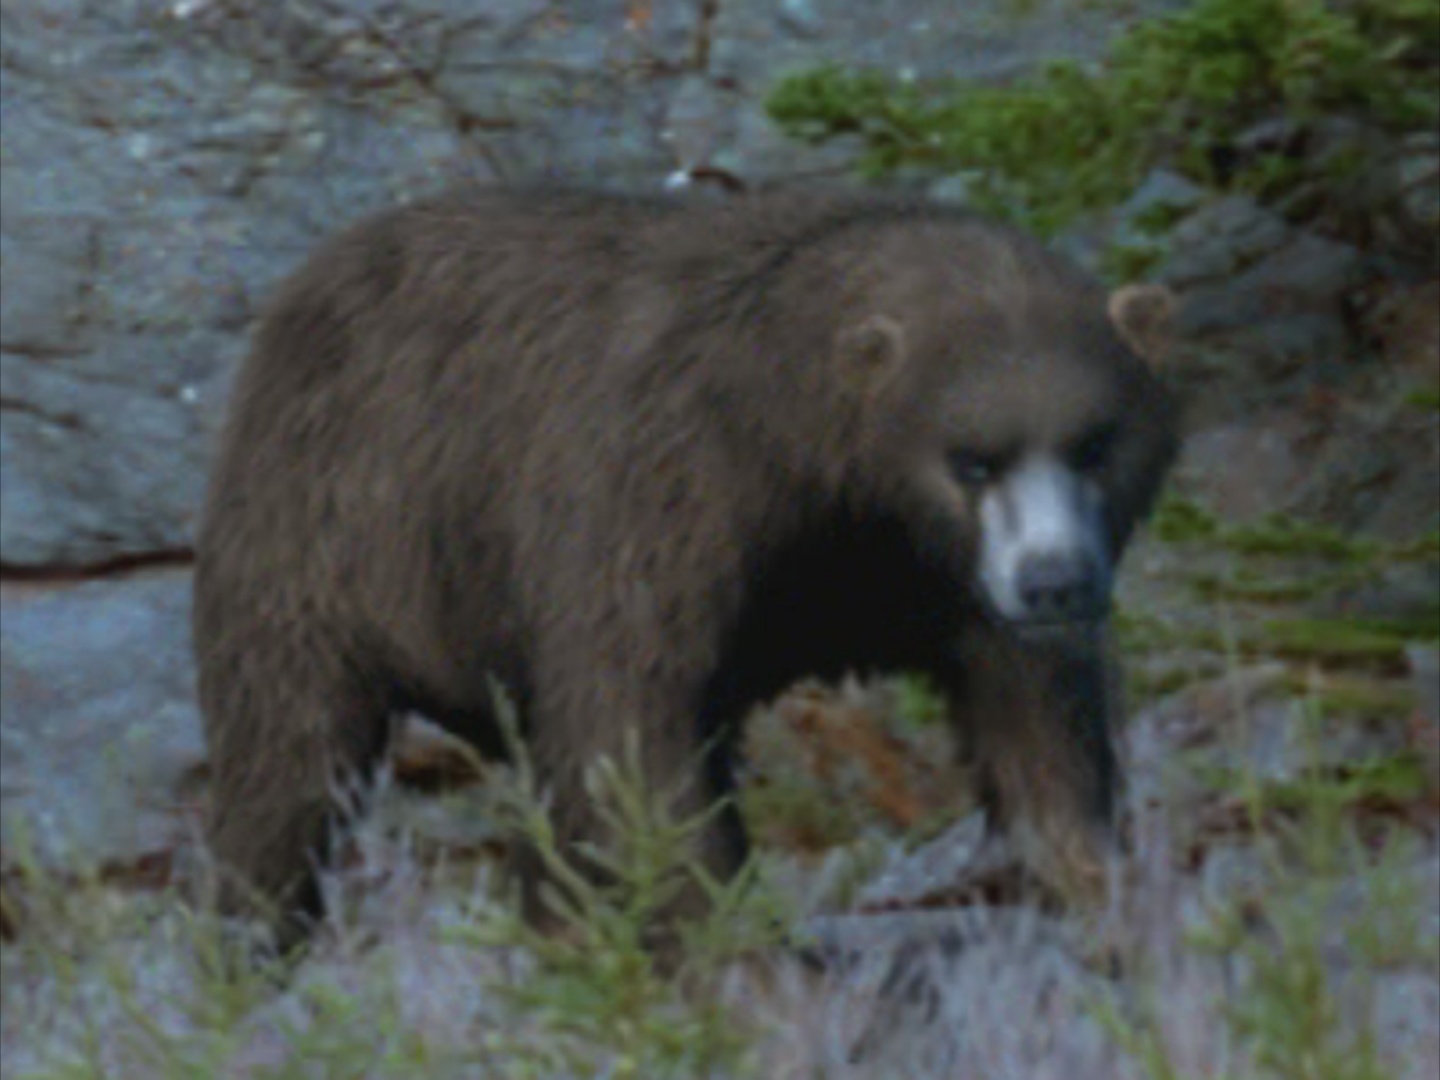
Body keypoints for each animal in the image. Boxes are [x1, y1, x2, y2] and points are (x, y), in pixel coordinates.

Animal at [194, 188, 1180, 956]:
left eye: (1095, 443)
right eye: (972, 460)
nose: (1054, 581)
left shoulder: (945, 593)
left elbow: (1043, 743)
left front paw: (1110, 903)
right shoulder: (661, 507)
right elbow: (633, 740)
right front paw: (749, 967)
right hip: (331, 538)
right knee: (287, 756)